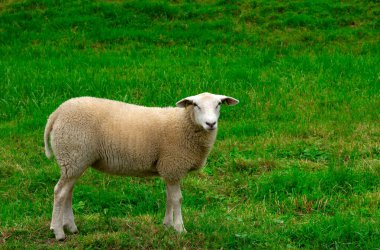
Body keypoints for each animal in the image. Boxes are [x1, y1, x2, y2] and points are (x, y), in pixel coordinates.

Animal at [44, 92, 239, 240]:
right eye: (196, 105)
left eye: (218, 104)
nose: (211, 123)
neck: (184, 123)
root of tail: (55, 114)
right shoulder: (173, 165)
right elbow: (177, 199)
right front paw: (180, 229)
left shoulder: (168, 169)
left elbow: (169, 198)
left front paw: (167, 225)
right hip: (73, 155)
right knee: (59, 192)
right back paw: (58, 232)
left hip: (74, 161)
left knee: (67, 192)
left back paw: (71, 227)